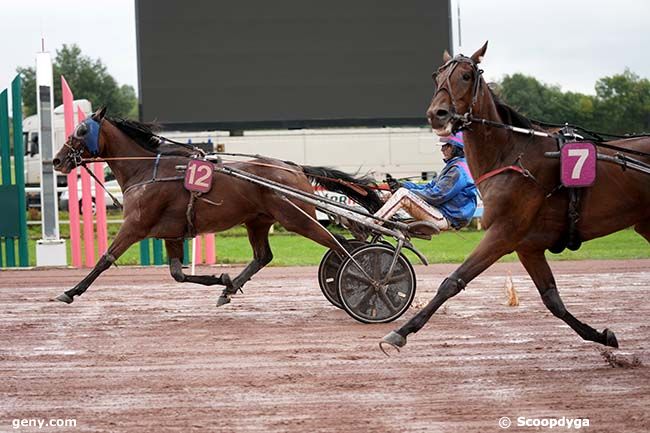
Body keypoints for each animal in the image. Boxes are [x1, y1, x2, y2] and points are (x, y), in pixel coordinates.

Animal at [53, 109, 382, 308]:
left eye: (81, 130)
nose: (57, 160)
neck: (147, 169)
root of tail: (294, 167)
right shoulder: (171, 233)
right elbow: (178, 274)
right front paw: (221, 279)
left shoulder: (135, 225)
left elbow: (105, 259)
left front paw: (70, 292)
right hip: (258, 221)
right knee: (264, 256)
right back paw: (230, 288)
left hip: (295, 218)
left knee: (339, 246)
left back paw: (370, 281)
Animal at [380, 41, 648, 352]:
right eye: (437, 76)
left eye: (466, 76)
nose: (438, 114)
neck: (511, 155)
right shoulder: (528, 246)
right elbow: (552, 299)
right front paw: (601, 335)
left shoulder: (505, 231)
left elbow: (453, 280)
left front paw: (401, 332)